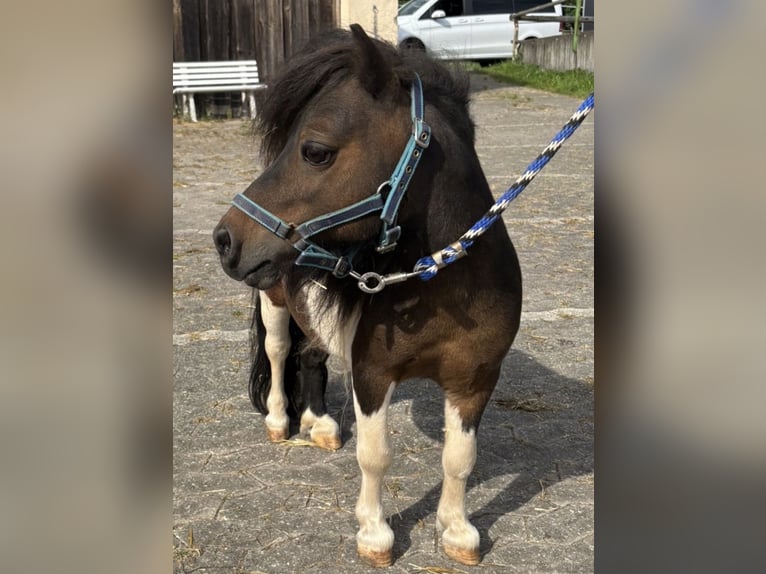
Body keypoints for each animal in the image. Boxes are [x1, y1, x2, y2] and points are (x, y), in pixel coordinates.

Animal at [213, 25, 522, 567]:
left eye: (315, 150)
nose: (225, 239)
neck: (440, 283)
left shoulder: (475, 379)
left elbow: (460, 459)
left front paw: (458, 532)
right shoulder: (374, 374)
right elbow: (376, 456)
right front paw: (375, 535)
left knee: (311, 358)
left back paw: (319, 425)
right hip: (273, 302)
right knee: (279, 352)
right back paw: (280, 420)